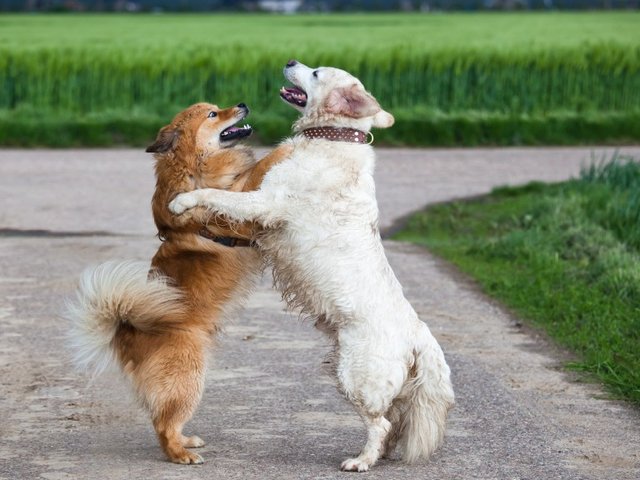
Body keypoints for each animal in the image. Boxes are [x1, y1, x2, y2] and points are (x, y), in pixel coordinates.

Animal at [67, 102, 290, 464]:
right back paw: (180, 454)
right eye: (213, 115)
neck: (194, 165)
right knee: (163, 424)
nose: (242, 104)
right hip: (188, 376)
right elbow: (261, 167)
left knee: (165, 418)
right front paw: (289, 145)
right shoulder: (235, 201)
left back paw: (186, 441)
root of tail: (125, 329)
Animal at [168, 61, 452, 472]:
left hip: (356, 374)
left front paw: (181, 201)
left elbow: (215, 194)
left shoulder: (265, 202)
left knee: (380, 424)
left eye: (317, 72)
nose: (289, 62)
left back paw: (361, 461)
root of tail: (420, 336)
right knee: (393, 421)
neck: (334, 138)